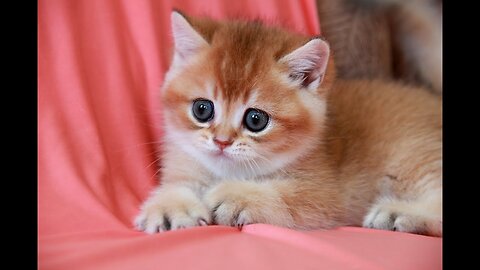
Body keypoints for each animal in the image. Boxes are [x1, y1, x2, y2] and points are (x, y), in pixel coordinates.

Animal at [135, 11, 442, 235]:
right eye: (202, 109)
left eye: (256, 120)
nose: (222, 141)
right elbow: (178, 183)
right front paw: (169, 205)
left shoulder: (327, 195)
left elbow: (287, 198)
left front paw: (238, 195)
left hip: (414, 156)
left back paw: (398, 213)